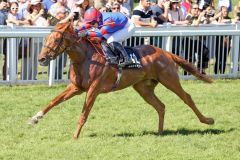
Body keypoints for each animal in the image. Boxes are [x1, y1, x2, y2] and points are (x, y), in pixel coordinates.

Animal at [29, 21, 215, 139]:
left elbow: (84, 113)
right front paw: (35, 118)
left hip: (169, 79)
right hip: (143, 88)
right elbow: (54, 101)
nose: (41, 59)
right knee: (160, 106)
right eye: (46, 39)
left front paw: (75, 136)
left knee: (187, 98)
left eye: (56, 39)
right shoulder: (76, 87)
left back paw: (207, 120)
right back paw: (160, 132)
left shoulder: (93, 89)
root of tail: (165, 52)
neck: (86, 57)